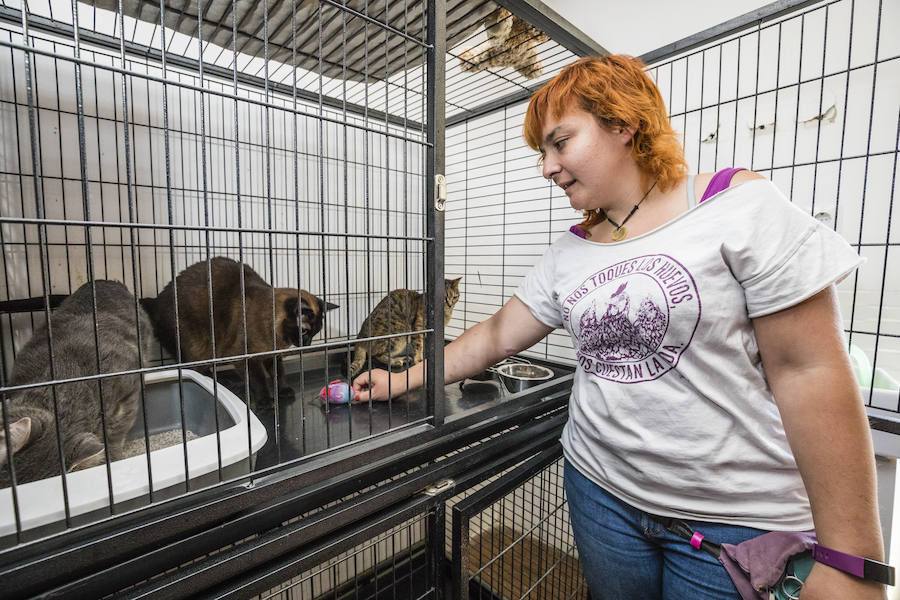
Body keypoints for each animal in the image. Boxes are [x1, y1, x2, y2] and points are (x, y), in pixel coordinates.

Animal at [141, 256, 338, 404]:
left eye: (315, 333)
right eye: (304, 331)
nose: (307, 344)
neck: (276, 341)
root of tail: (156, 301)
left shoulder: (272, 355)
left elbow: (278, 374)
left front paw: (283, 391)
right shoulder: (245, 356)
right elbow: (259, 379)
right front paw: (266, 401)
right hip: (198, 346)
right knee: (195, 369)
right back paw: (219, 382)